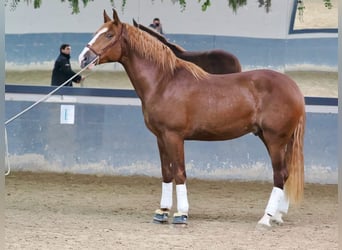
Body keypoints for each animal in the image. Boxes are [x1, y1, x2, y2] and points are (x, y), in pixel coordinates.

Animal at [79, 9, 304, 228]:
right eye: (97, 32)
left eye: (109, 35)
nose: (83, 59)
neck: (164, 82)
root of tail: (293, 86)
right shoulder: (160, 137)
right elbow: (166, 173)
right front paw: (162, 212)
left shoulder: (174, 136)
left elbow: (179, 172)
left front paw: (181, 214)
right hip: (271, 138)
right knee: (285, 174)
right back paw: (277, 216)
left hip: (275, 140)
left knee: (279, 175)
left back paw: (266, 218)